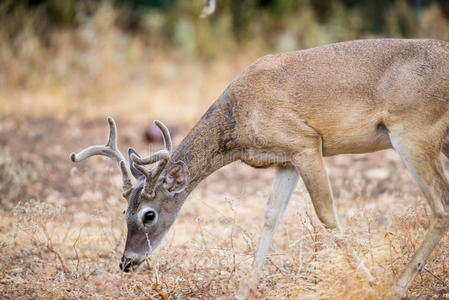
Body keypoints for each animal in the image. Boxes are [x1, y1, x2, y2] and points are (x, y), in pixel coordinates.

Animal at [71, 38, 448, 298]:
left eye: (148, 215)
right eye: (123, 212)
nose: (127, 262)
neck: (238, 118)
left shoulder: (306, 143)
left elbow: (327, 215)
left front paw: (369, 281)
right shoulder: (285, 159)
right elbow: (270, 217)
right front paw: (245, 288)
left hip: (414, 130)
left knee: (440, 207)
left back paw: (397, 284)